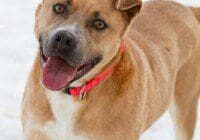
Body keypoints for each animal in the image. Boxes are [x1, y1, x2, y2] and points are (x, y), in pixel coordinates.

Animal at [21, 0, 200, 140]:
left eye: (99, 24)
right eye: (59, 8)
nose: (65, 39)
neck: (72, 93)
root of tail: (188, 9)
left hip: (184, 108)